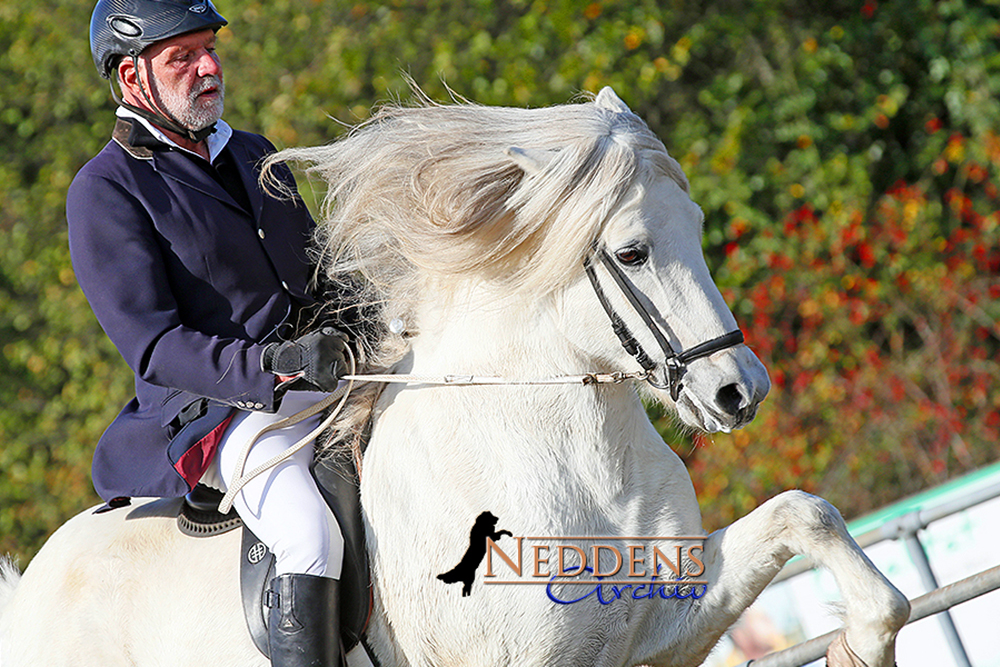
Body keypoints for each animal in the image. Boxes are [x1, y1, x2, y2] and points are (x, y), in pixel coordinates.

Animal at [0, 90, 912, 667]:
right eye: (631, 253)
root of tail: (29, 595)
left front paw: (863, 639)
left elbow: (805, 513)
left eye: (694, 224)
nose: (738, 391)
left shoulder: (658, 624)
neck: (573, 457)